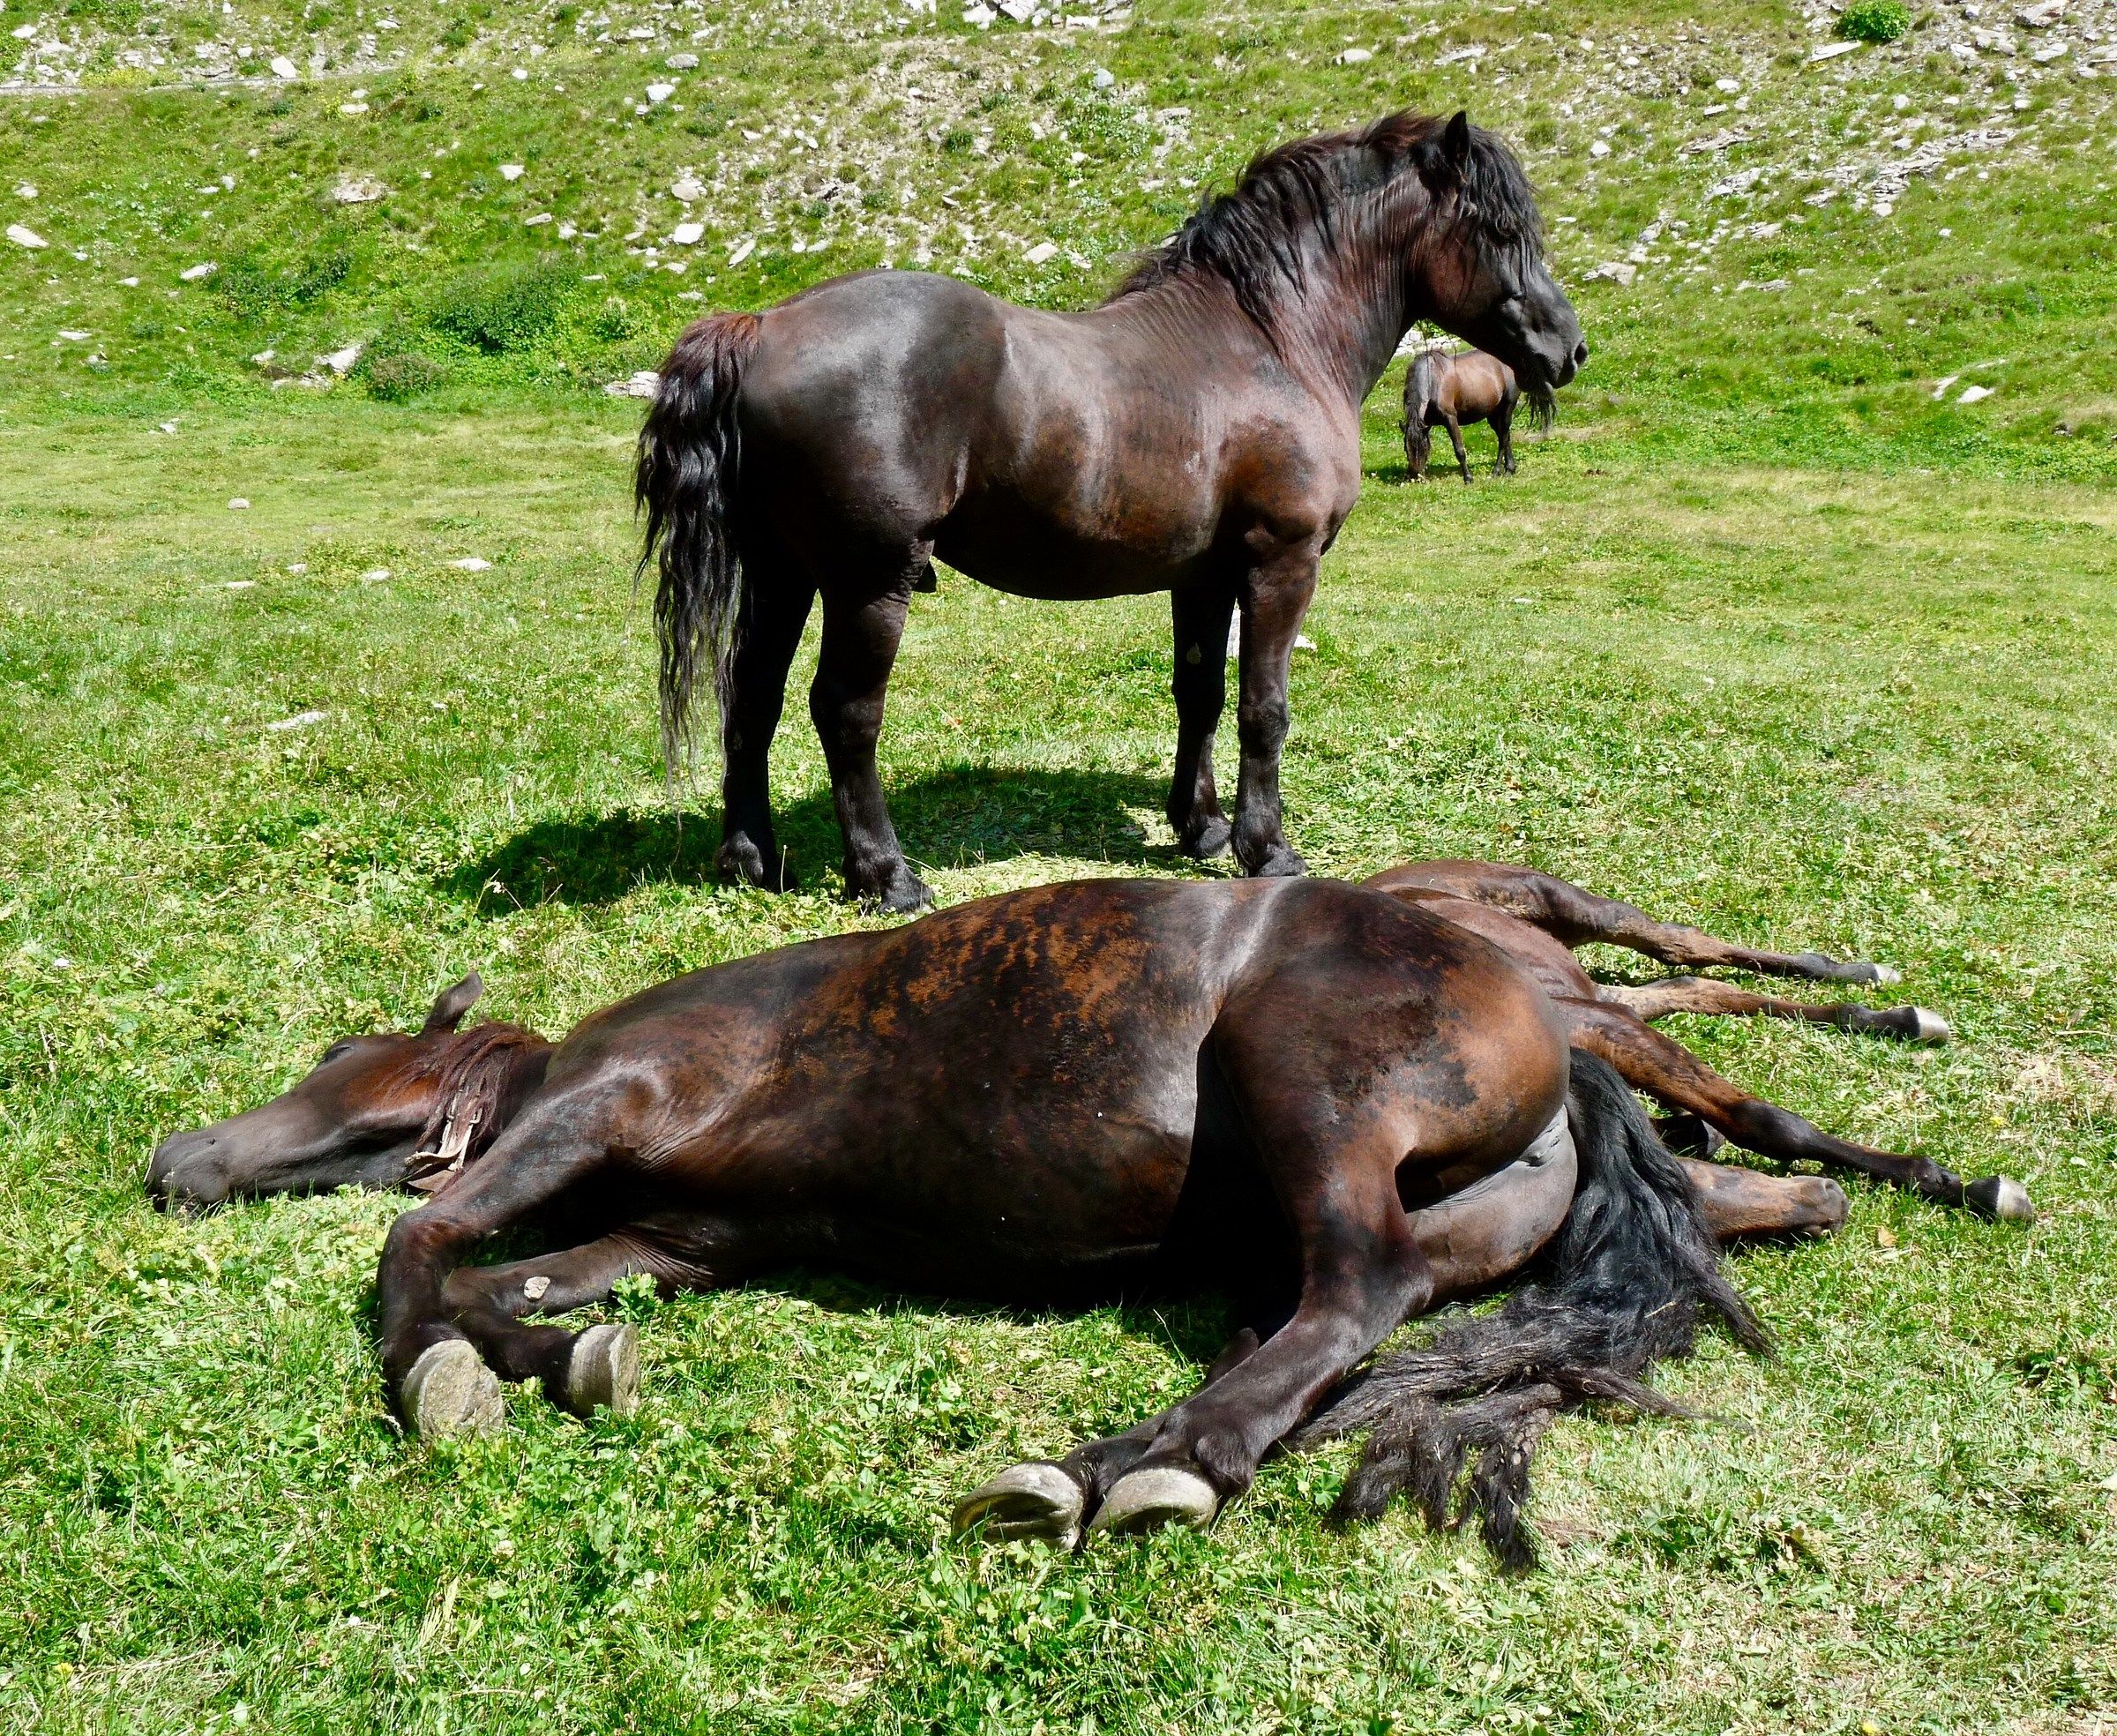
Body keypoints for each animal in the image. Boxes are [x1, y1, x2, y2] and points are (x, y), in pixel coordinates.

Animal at [148, 867, 2026, 1561]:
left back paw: (1142, 1464)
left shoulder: (603, 1106)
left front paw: (451, 1370)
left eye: (344, 1059)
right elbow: (517, 1275)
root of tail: (1541, 1027)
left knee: (1357, 1290)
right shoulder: (680, 1238)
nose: (174, 1155)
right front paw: (549, 1353)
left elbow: (415, 1245)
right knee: (1353, 1328)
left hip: (1309, 1092)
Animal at [1400, 344, 1552, 483]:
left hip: (1507, 407)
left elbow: (1459, 450)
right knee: (1505, 436)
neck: (1433, 380)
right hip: (1493, 414)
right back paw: (1510, 469)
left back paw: (1497, 471)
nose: (1414, 477)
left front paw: (1468, 478)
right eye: (1406, 449)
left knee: (1503, 439)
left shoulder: (1450, 419)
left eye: (1424, 449)